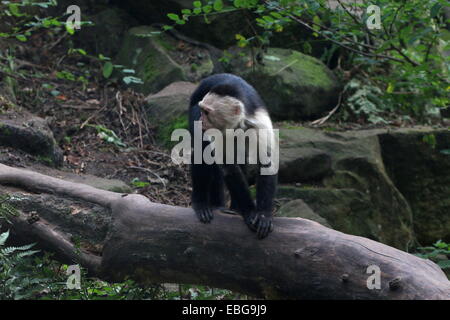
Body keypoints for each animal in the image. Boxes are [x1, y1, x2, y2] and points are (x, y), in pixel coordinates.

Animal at [187, 72, 278, 238]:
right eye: (203, 110)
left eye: (207, 112)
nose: (201, 120)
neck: (238, 124)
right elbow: (228, 168)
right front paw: (250, 212)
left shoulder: (259, 123)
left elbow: (266, 163)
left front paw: (263, 214)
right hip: (193, 109)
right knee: (202, 150)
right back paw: (201, 203)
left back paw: (233, 208)